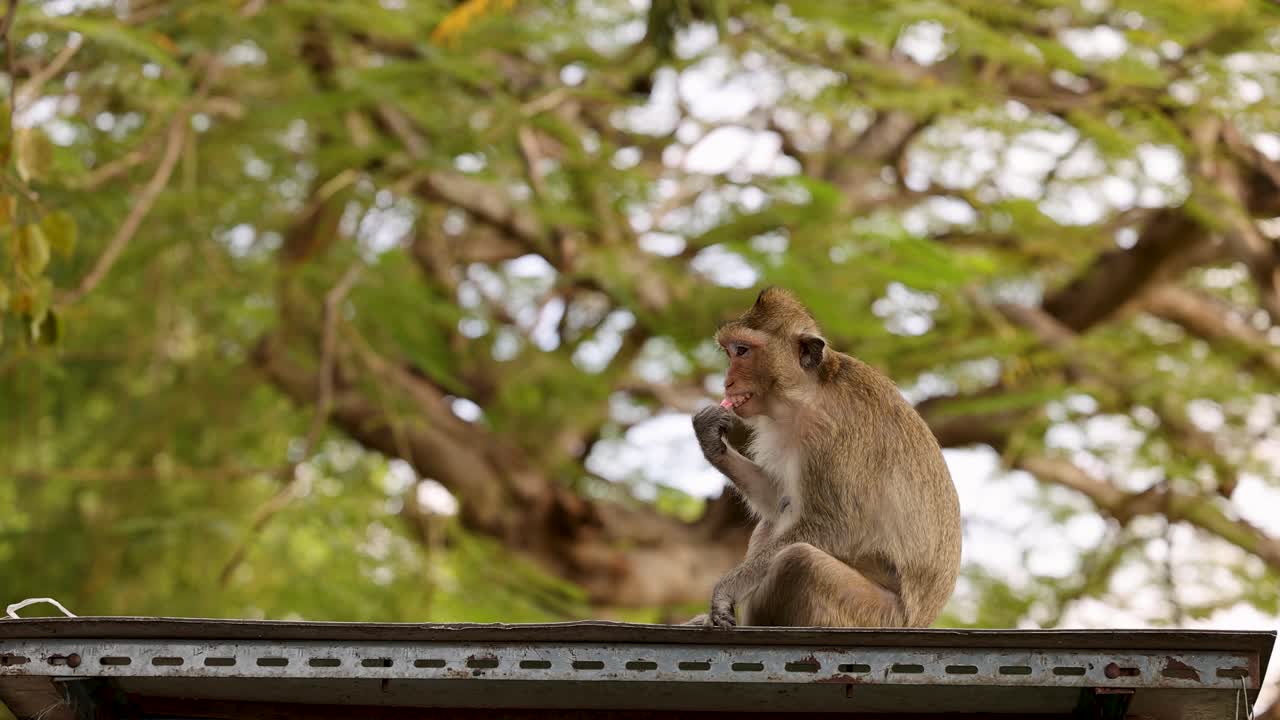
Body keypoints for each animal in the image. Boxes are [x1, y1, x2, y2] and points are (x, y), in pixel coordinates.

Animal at [686, 287, 961, 629]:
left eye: (742, 351)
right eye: (729, 353)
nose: (727, 382)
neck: (809, 392)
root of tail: (921, 621)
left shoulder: (832, 432)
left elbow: (836, 526)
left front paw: (726, 589)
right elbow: (780, 499)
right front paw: (712, 440)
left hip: (873, 615)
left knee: (800, 561)